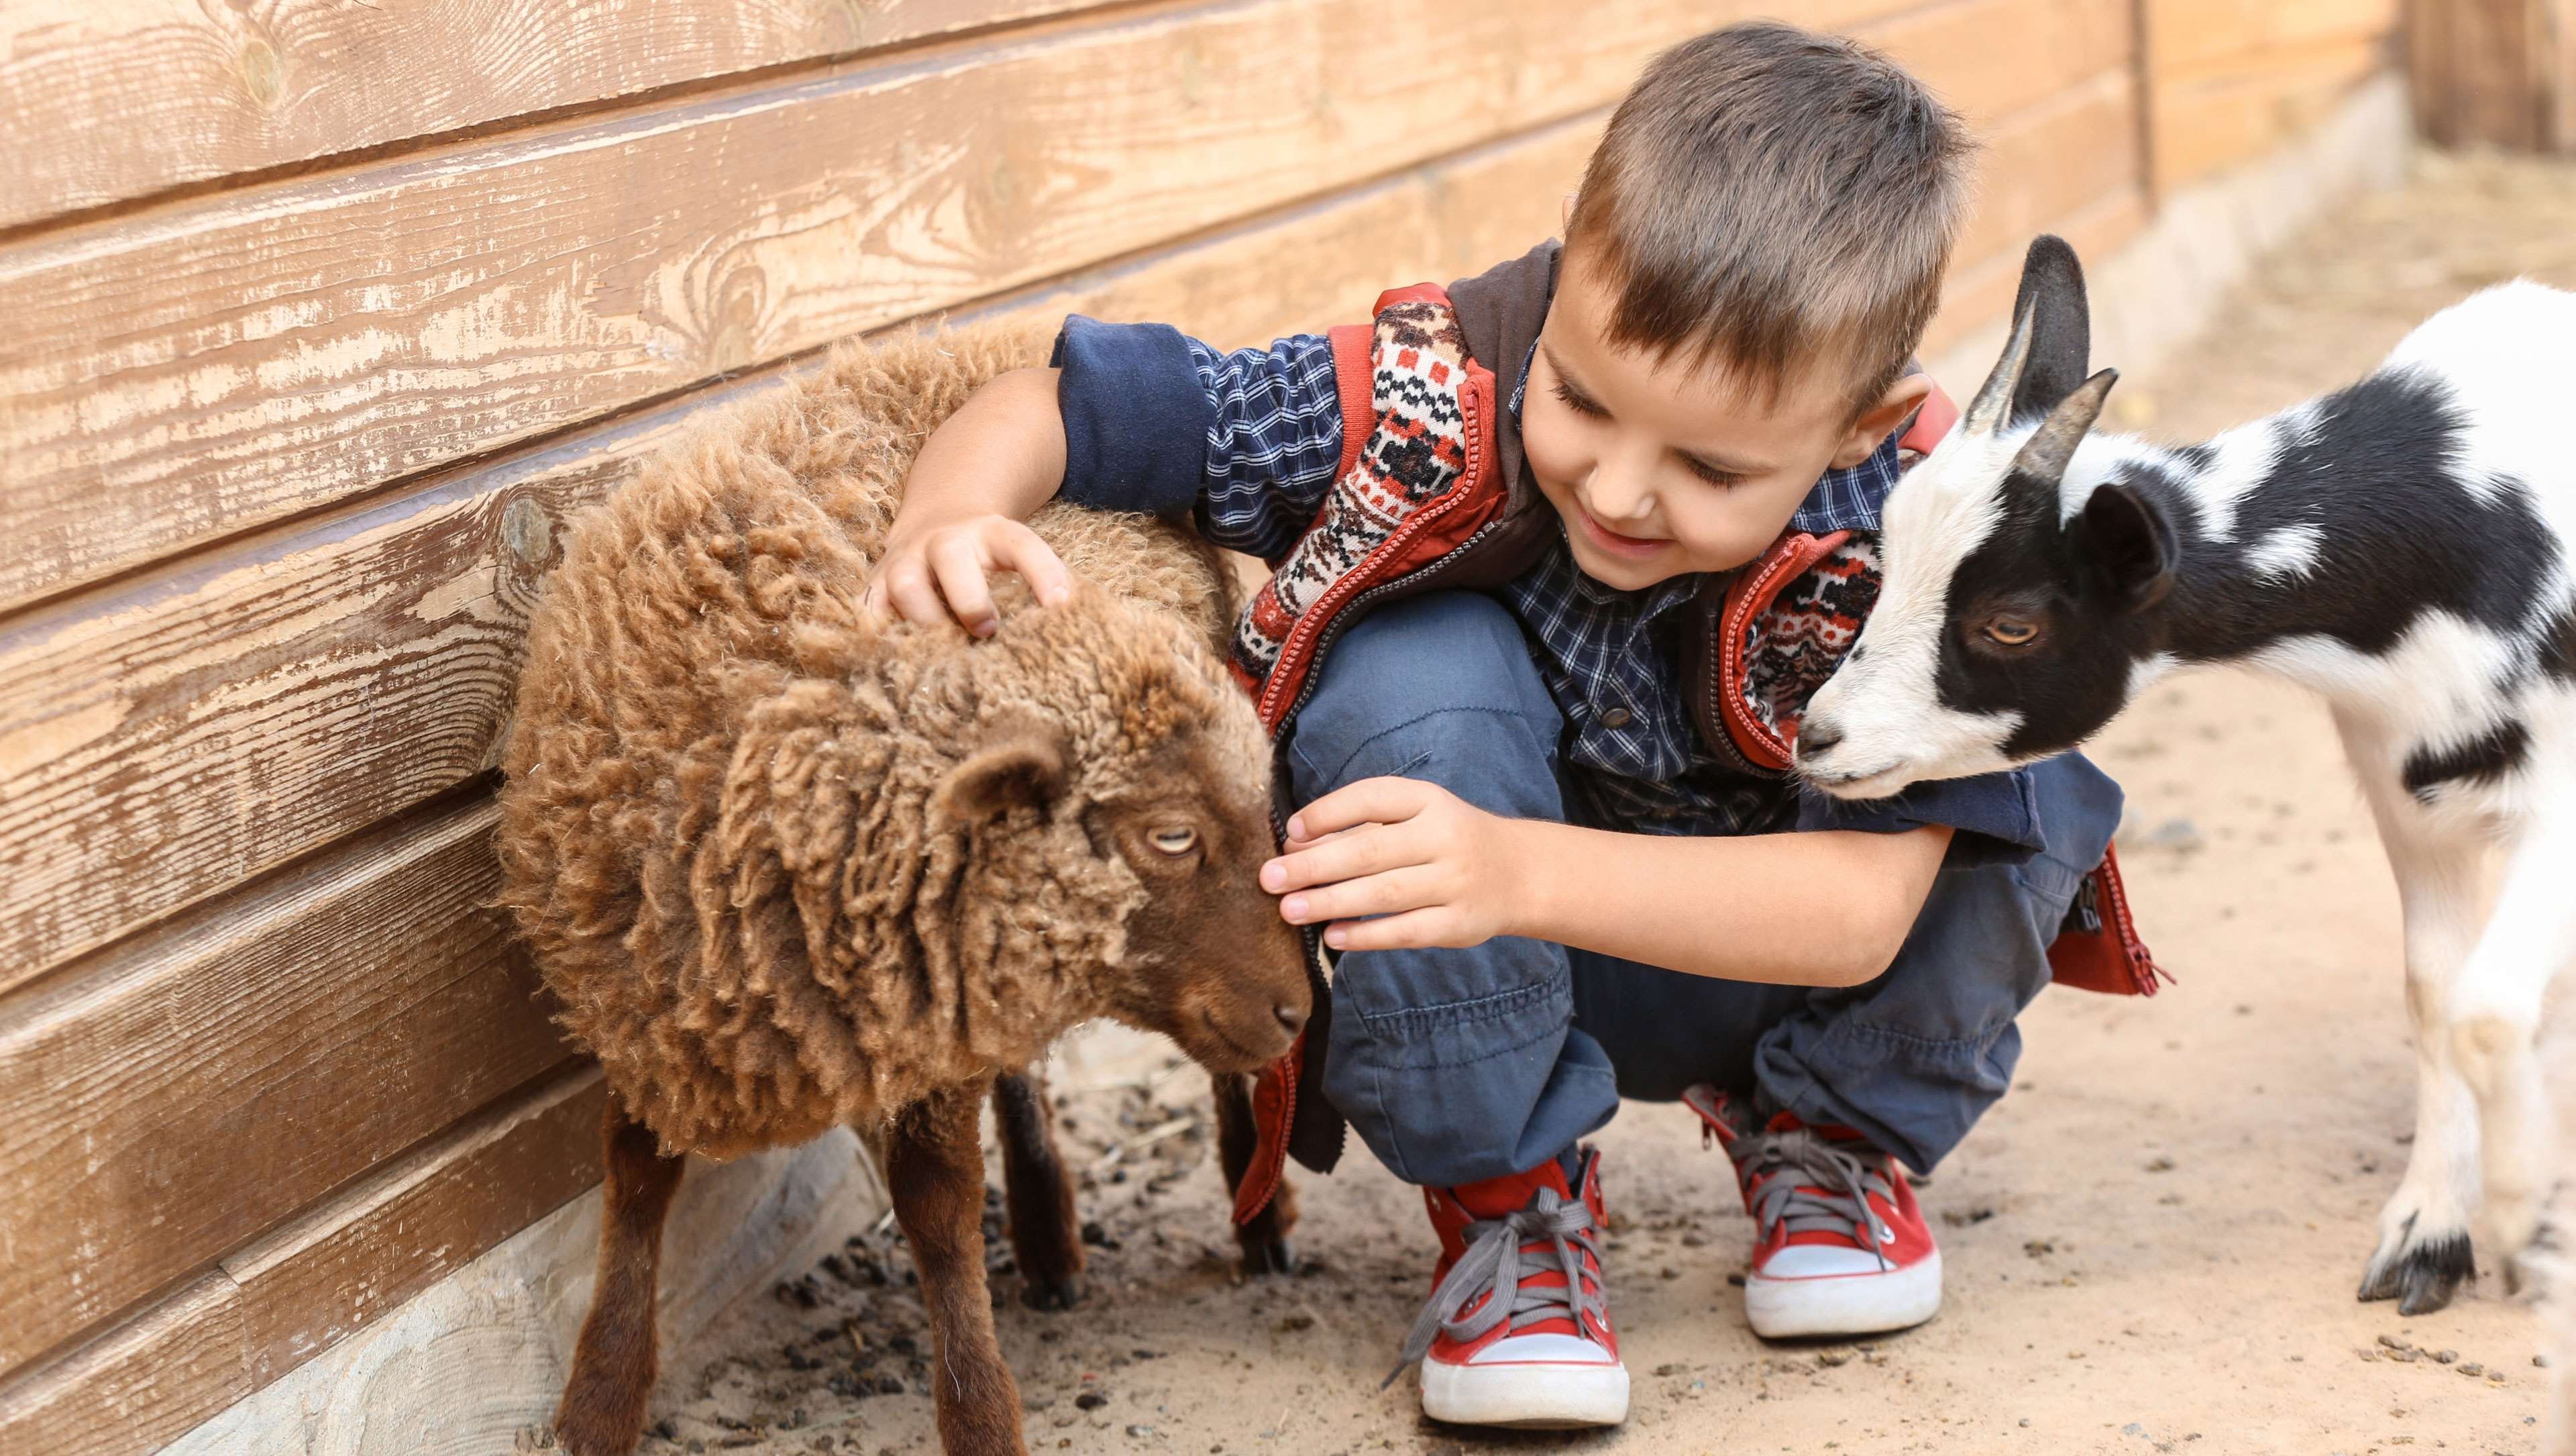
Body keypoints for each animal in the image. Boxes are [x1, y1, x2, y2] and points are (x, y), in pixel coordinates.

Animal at [494, 321, 1319, 1453]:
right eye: (1171, 834)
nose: (1300, 1009)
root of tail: (1001, 334)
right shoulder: (648, 987)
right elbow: (633, 1170)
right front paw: (600, 1397)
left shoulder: (911, 991)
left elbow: (933, 1203)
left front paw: (978, 1415)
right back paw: (1051, 1236)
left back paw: (1256, 1213)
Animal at [1803, 238, 2565, 1319]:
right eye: (1883, 558)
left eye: (2010, 622)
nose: (1819, 736)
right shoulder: (2409, 794)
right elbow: (2438, 992)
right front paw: (2432, 1230)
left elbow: (2490, 1011)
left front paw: (2521, 1213)